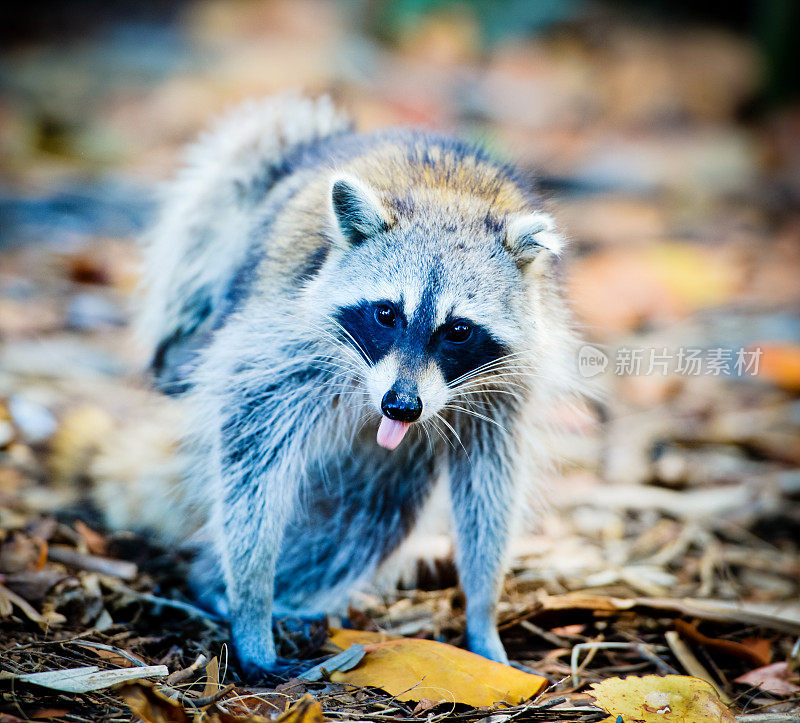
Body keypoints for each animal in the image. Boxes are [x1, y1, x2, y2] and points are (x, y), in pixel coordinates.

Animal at [138, 93, 580, 676]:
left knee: (367, 512)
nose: (400, 407)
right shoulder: (282, 337)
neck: (448, 199)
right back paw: (223, 587)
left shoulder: (504, 389)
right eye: (387, 314)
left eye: (458, 330)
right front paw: (250, 599)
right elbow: (252, 458)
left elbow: (491, 486)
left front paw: (483, 612)